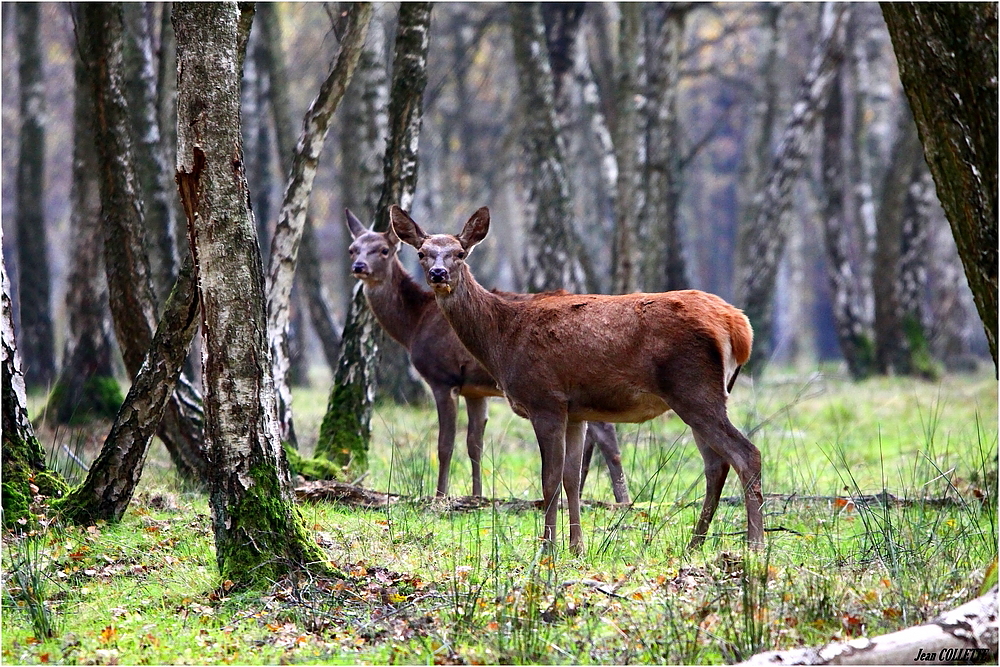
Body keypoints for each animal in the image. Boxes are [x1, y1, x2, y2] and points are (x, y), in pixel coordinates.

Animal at [342, 211, 624, 504]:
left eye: (384, 250)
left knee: (606, 435)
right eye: (352, 249)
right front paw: (477, 495)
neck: (414, 325)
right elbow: (474, 443)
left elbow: (445, 444)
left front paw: (440, 495)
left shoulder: (443, 377)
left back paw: (620, 500)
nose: (360, 267)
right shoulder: (475, 390)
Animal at [390, 205, 764, 552]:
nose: (438, 273)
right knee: (716, 463)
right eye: (422, 252)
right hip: (707, 392)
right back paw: (695, 543)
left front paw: (547, 546)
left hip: (693, 388)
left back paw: (755, 544)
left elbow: (550, 479)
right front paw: (576, 546)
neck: (502, 339)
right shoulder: (576, 411)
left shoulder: (545, 400)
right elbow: (572, 478)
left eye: (460, 253)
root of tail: (740, 327)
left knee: (746, 455)